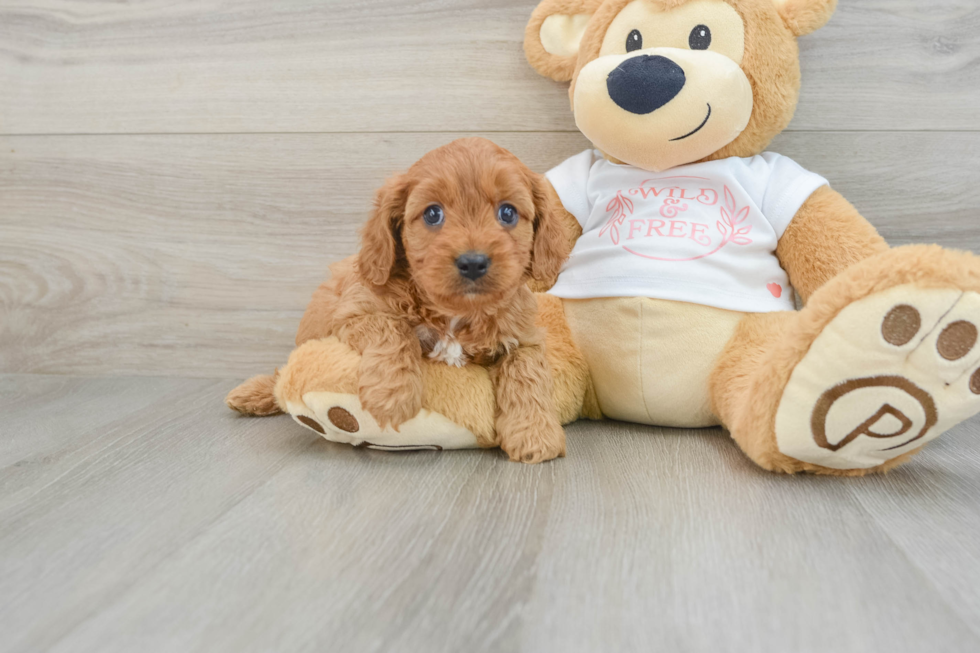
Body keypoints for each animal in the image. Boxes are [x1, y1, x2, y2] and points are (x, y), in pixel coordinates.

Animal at [232, 138, 576, 464]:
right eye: (433, 214)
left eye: (507, 212)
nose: (473, 262)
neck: (454, 312)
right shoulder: (356, 312)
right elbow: (393, 330)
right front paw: (391, 396)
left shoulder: (522, 336)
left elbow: (527, 375)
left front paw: (534, 435)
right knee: (284, 370)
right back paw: (253, 393)